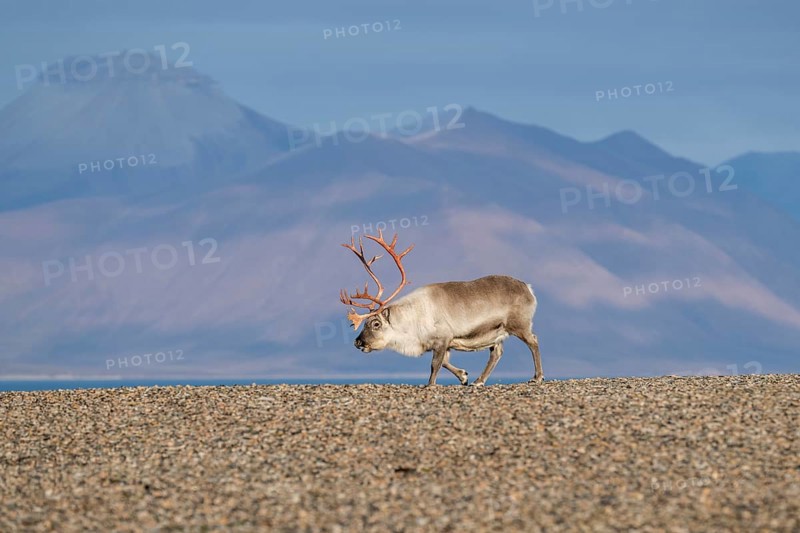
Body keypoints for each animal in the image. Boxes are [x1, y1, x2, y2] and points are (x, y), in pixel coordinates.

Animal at [339, 230, 543, 386]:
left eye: (375, 324)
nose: (357, 342)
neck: (409, 322)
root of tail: (528, 288)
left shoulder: (443, 338)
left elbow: (435, 364)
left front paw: (430, 384)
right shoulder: (445, 343)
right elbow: (444, 363)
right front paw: (463, 376)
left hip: (519, 324)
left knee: (533, 341)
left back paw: (537, 377)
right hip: (496, 332)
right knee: (497, 353)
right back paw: (478, 381)